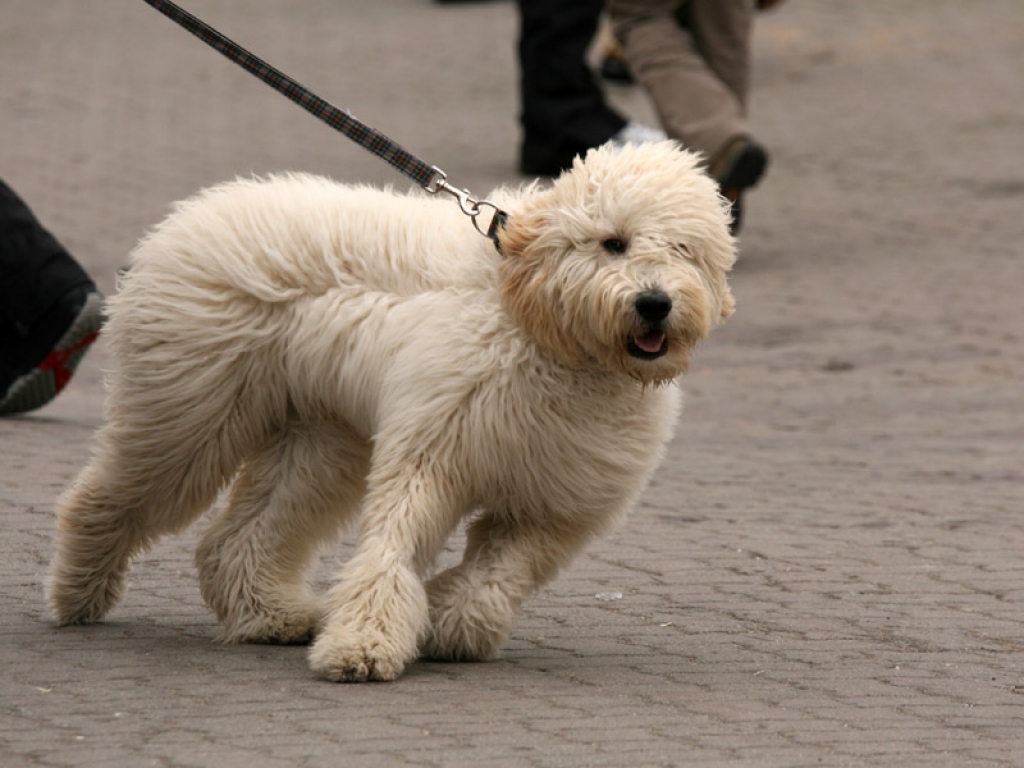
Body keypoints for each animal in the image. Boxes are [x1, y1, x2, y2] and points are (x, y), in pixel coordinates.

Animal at [48, 141, 737, 684]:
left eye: (683, 249)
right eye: (613, 243)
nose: (654, 303)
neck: (541, 332)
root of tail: (188, 218)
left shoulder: (554, 505)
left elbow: (498, 575)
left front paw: (453, 625)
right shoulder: (430, 453)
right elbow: (392, 548)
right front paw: (363, 644)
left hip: (318, 442)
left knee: (239, 536)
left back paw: (269, 617)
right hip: (188, 411)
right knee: (109, 498)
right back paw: (78, 595)